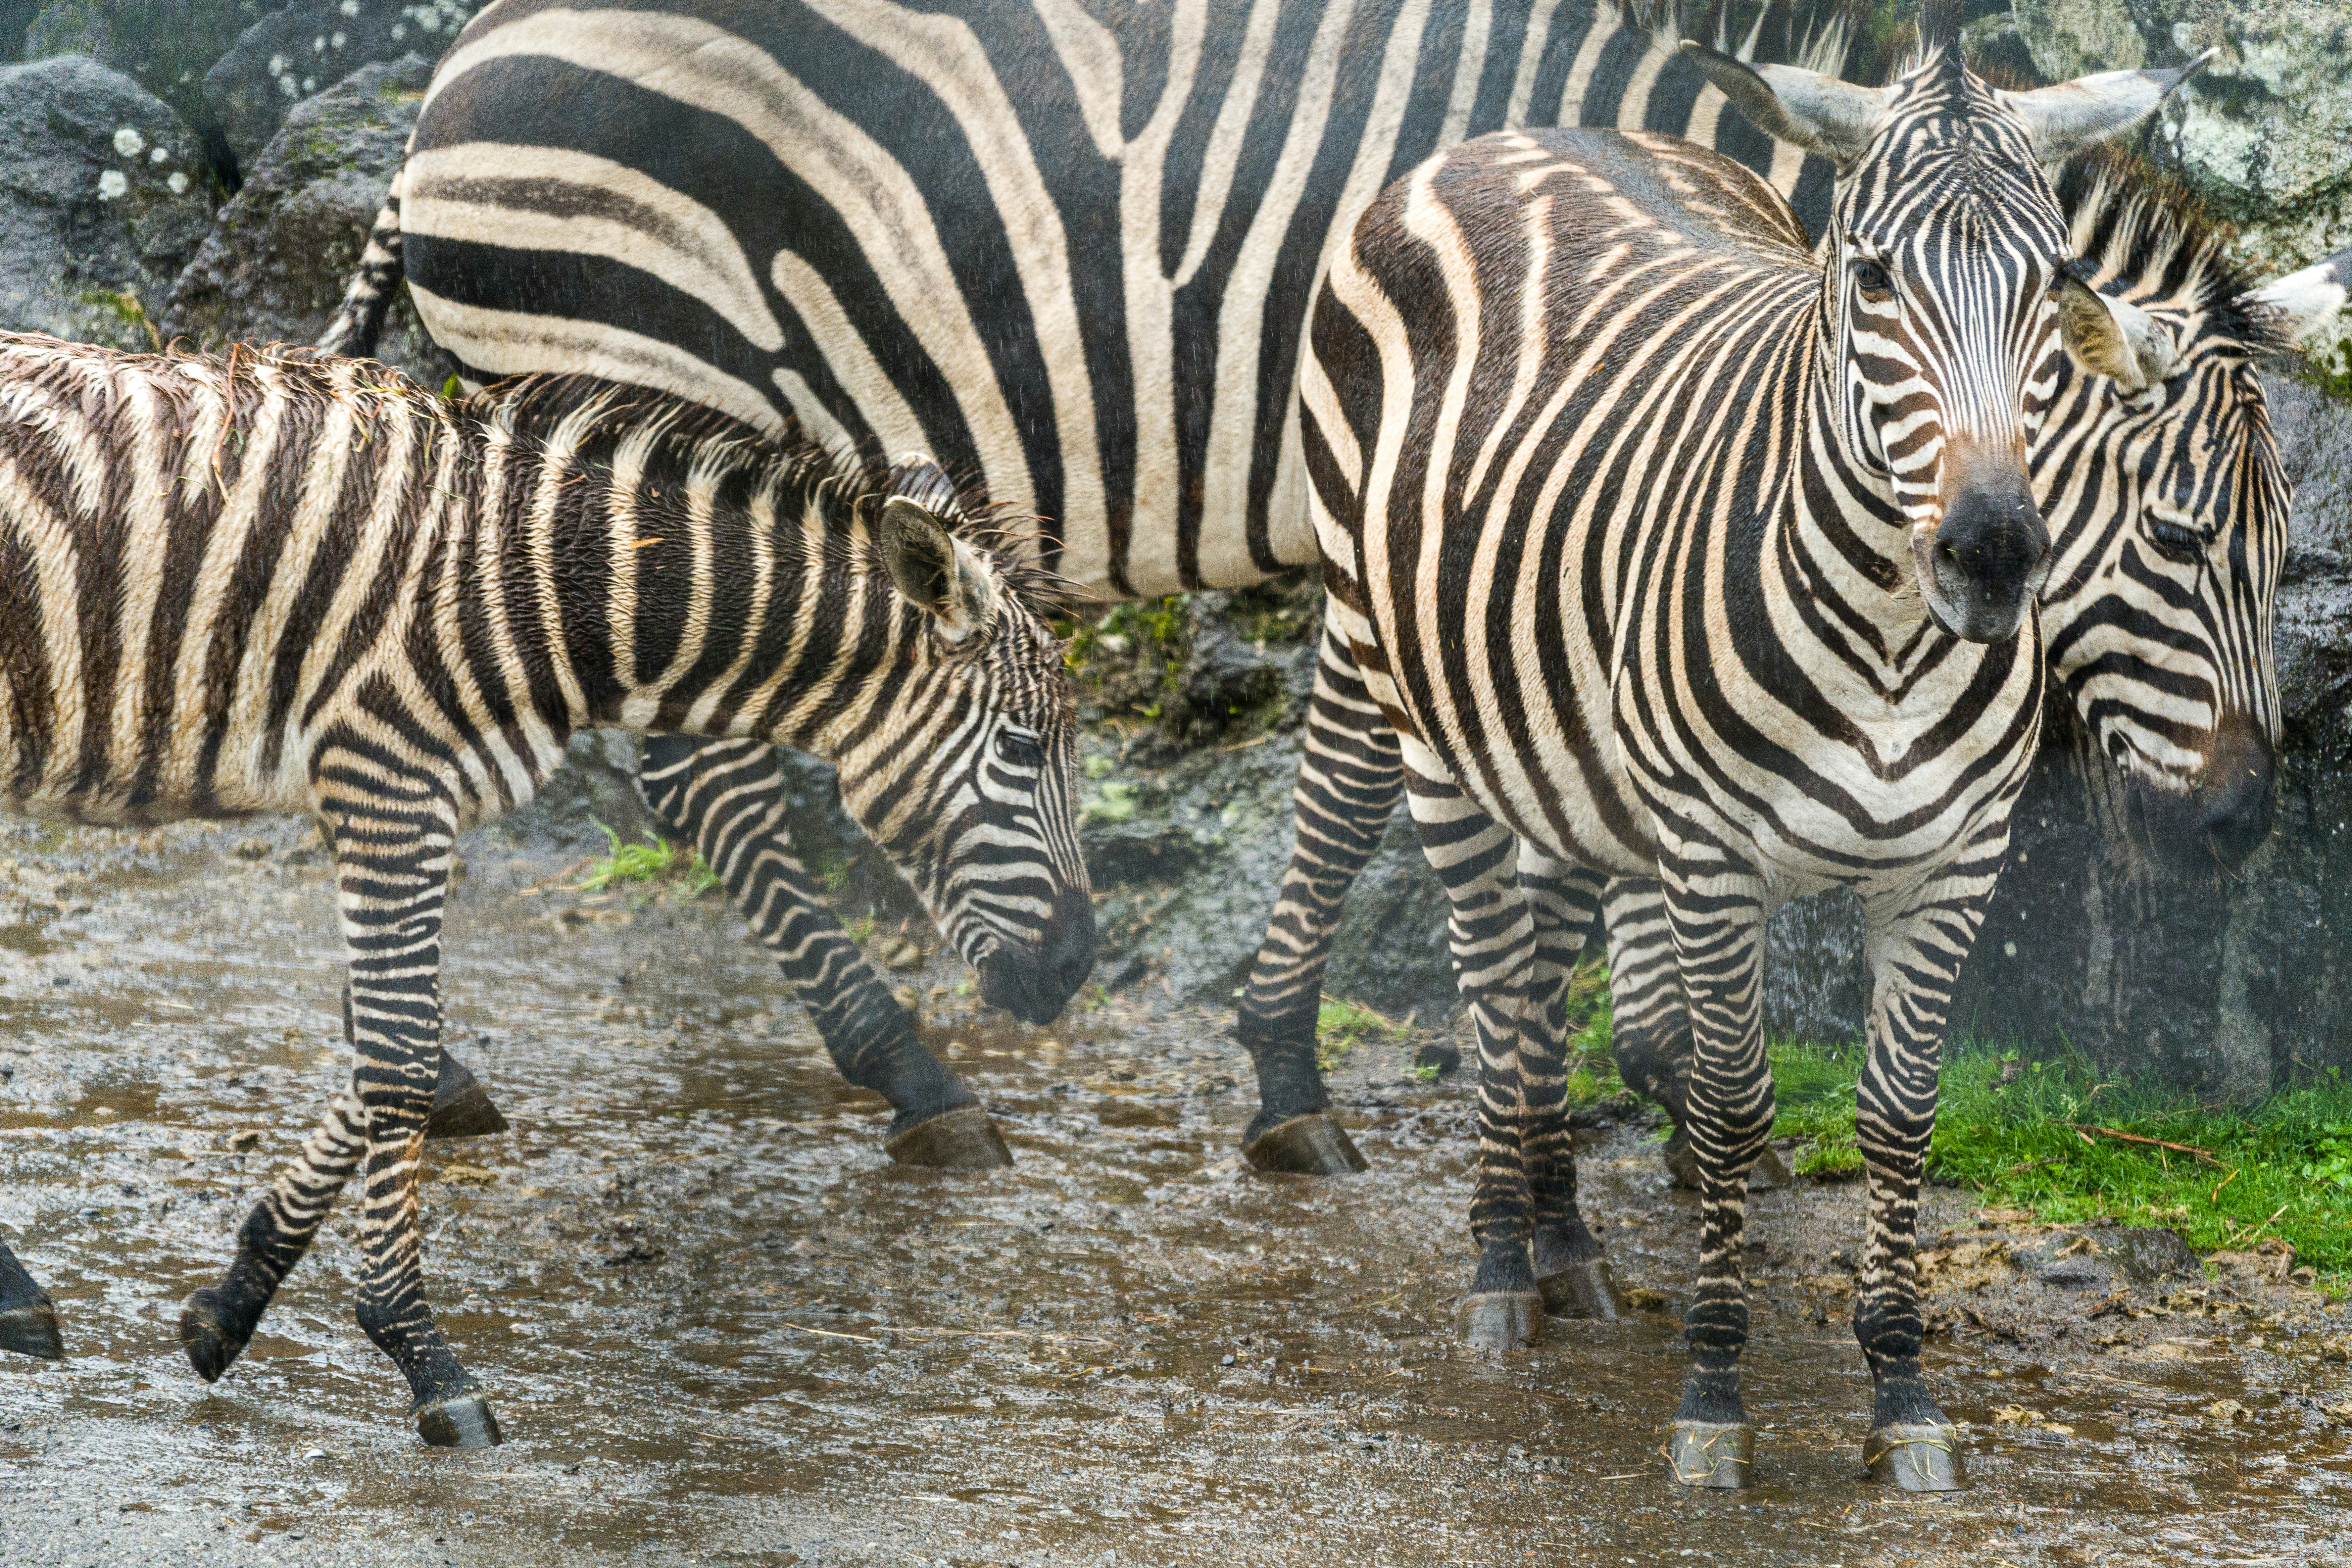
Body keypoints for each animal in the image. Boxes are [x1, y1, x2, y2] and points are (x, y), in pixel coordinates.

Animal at [0, 337, 1091, 1447]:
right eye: (1021, 748)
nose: (1074, 968)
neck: (554, 595)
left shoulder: (394, 798)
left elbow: (386, 1050)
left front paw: (234, 1298)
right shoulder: (387, 780)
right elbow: (399, 1058)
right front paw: (423, 1357)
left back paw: (18, 1300)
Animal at [1298, 45, 2195, 1487]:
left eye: (2055, 282)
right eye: (1872, 276)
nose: (1995, 555)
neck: (1889, 642)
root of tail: (1518, 133)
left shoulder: (1951, 866)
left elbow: (1898, 1114)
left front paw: (1902, 1395)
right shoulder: (1713, 856)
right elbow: (1728, 1107)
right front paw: (1714, 1397)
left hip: (1572, 759)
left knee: (1538, 987)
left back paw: (1565, 1247)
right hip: (1423, 713)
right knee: (1493, 985)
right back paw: (1500, 1268)